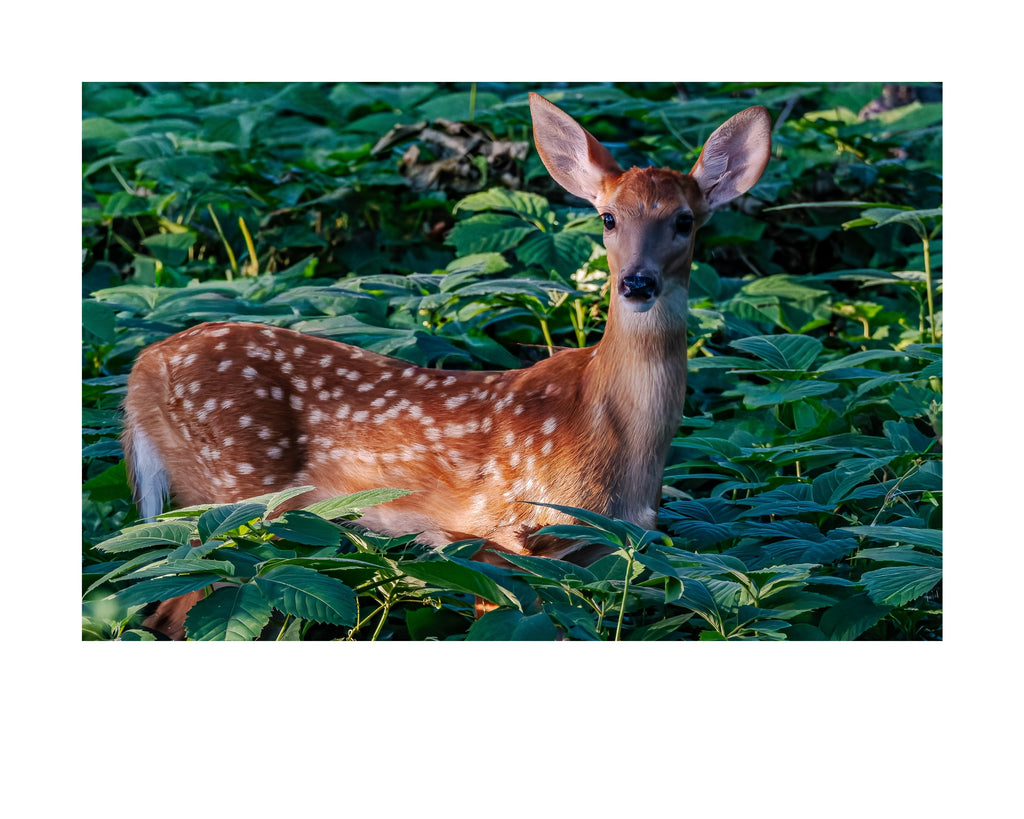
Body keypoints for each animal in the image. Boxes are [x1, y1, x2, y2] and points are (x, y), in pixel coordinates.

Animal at [122, 92, 771, 639]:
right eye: (608, 218)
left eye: (685, 221)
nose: (637, 283)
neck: (611, 433)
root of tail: (141, 371)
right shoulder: (500, 532)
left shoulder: (602, 548)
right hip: (230, 494)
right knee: (170, 611)